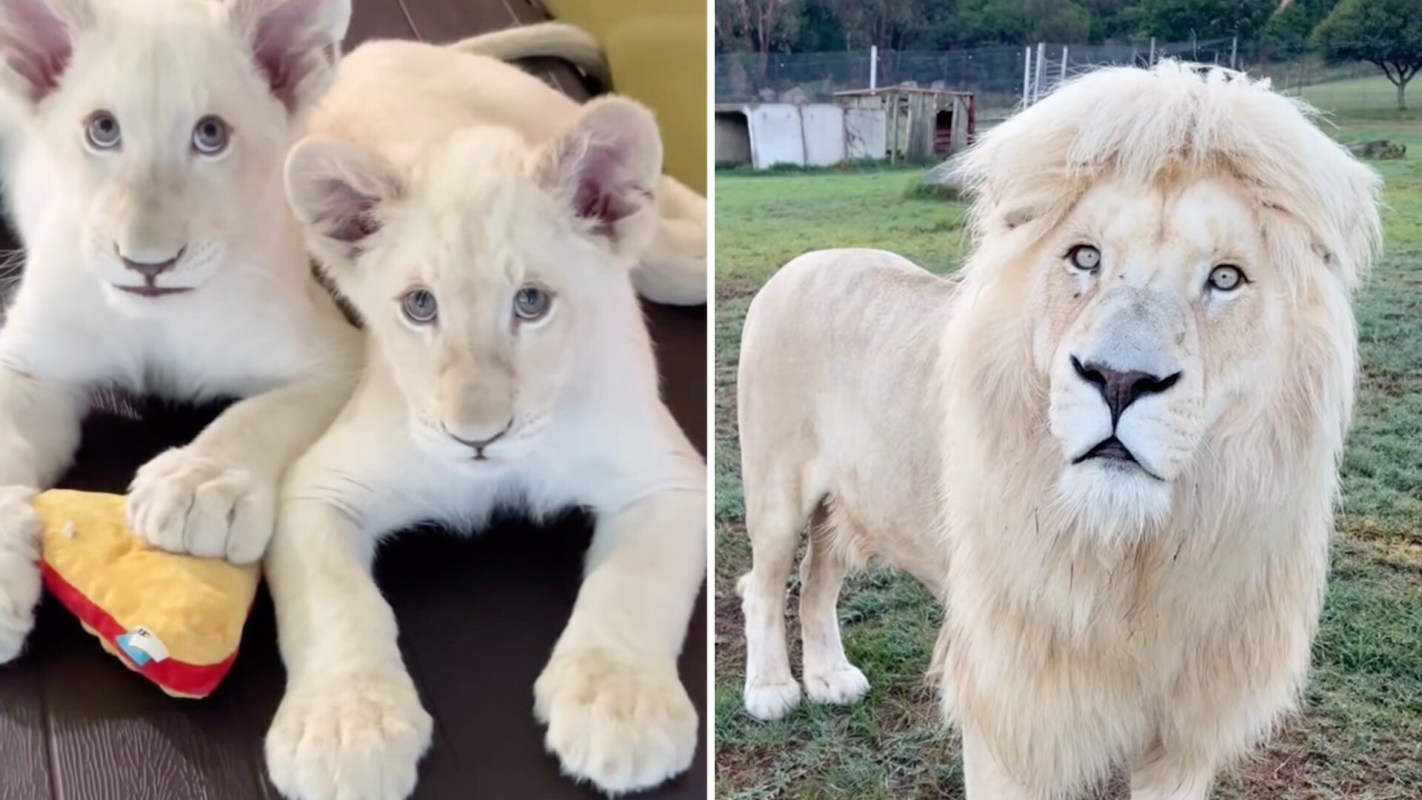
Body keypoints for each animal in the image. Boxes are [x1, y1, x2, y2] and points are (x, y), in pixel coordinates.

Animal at [736, 61, 1380, 799]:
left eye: (1225, 277)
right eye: (1084, 258)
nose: (1120, 380)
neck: (1136, 559)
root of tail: (807, 258)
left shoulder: (1186, 734)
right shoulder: (1016, 710)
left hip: (853, 498)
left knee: (818, 578)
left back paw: (830, 678)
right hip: (776, 490)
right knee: (762, 584)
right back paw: (772, 690)